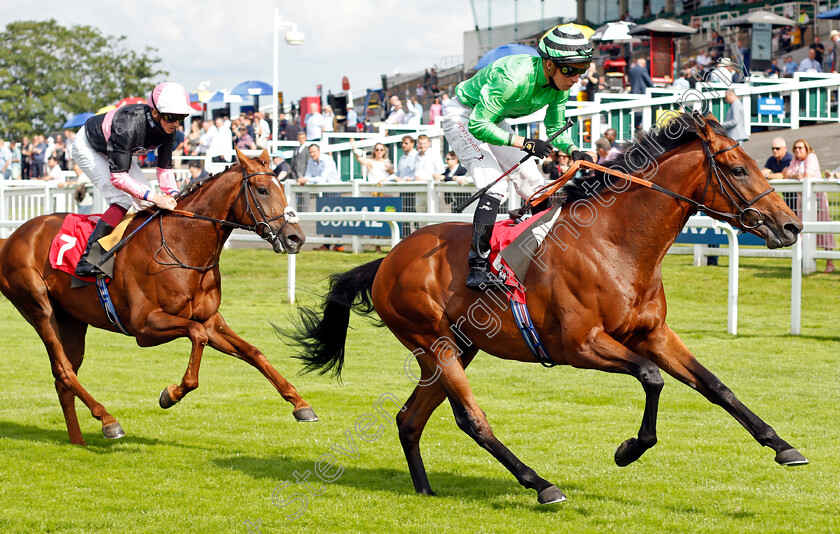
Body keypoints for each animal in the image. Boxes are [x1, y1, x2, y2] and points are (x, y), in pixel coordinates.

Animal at [0, 149, 318, 446]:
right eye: (262, 189)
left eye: (281, 187)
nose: (296, 238)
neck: (183, 244)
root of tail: (10, 238)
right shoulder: (145, 326)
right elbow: (197, 335)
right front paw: (170, 394)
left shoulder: (211, 320)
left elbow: (253, 352)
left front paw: (300, 404)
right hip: (38, 307)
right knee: (64, 370)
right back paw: (109, 421)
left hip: (73, 322)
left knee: (64, 378)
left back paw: (78, 440)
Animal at [288, 114, 808, 506]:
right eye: (737, 169)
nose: (792, 225)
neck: (616, 244)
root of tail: (387, 259)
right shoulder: (580, 345)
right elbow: (652, 378)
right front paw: (628, 450)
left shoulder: (654, 334)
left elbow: (717, 387)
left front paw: (784, 447)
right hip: (434, 343)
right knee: (471, 419)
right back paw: (540, 484)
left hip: (456, 347)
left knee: (410, 418)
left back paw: (425, 490)